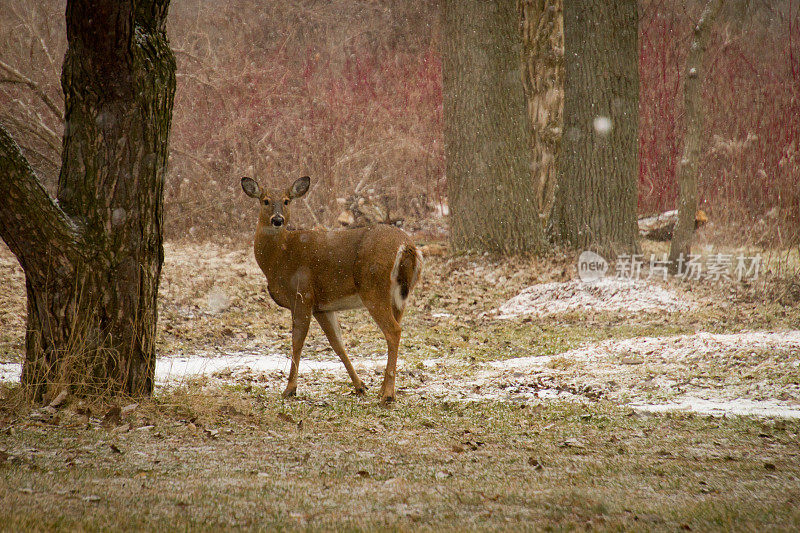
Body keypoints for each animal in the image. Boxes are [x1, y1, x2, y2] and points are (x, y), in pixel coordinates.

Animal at [241, 175, 422, 404]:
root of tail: (407, 246)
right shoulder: (322, 307)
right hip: (399, 297)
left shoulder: (302, 294)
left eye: (286, 201)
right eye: (265, 200)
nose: (277, 220)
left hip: (373, 288)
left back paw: (388, 395)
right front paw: (360, 386)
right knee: (395, 327)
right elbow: (338, 344)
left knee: (393, 331)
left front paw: (290, 389)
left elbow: (297, 341)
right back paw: (383, 390)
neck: (280, 257)